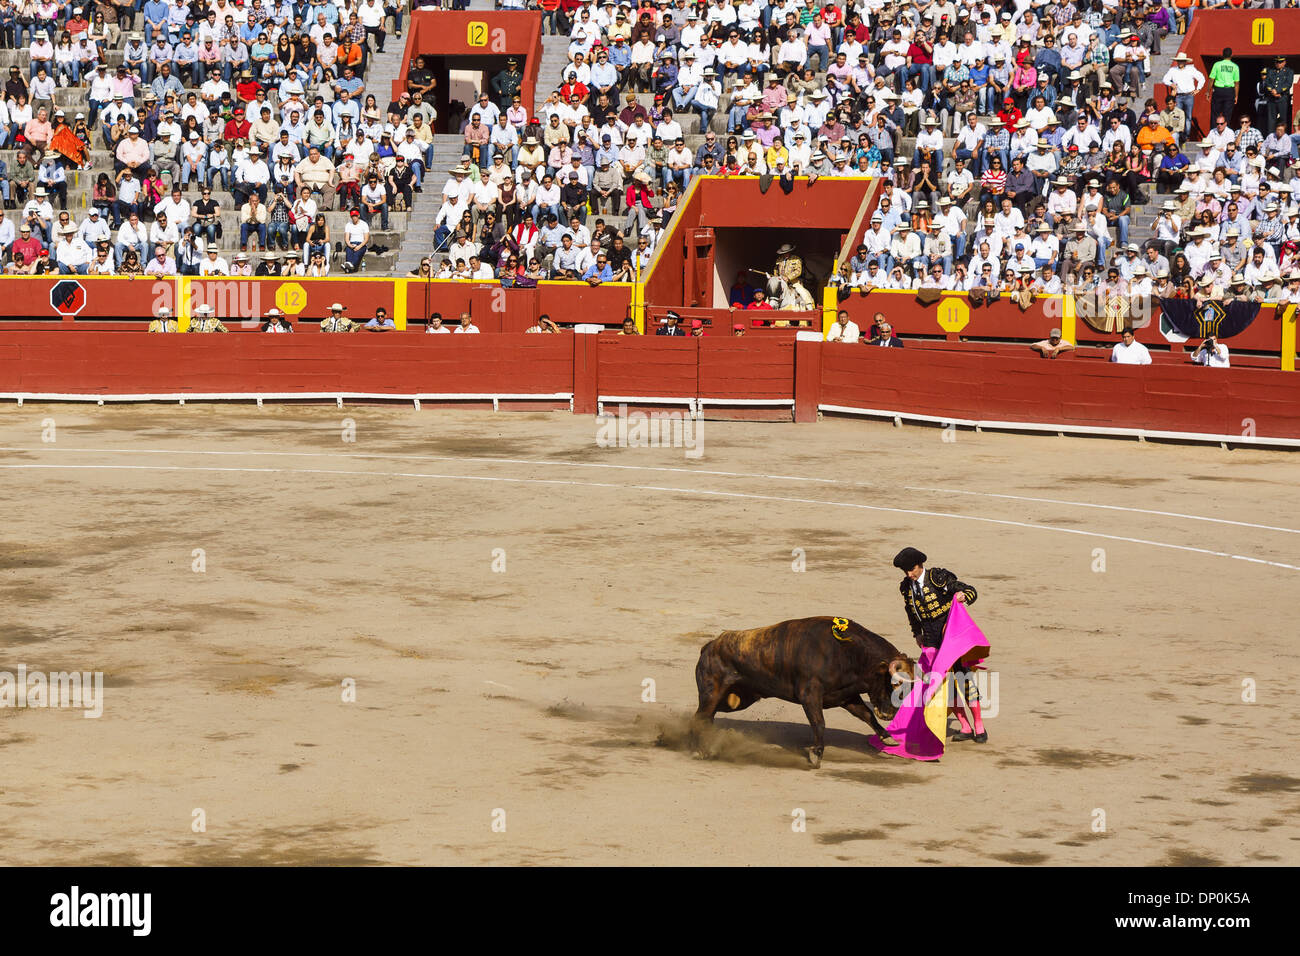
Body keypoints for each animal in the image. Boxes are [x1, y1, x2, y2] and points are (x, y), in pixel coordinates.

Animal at [691, 621, 915, 770]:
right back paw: (698, 750)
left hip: (737, 699)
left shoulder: (846, 697)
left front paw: (888, 738)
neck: (846, 653)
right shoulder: (810, 694)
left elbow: (866, 715)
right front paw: (816, 755)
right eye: (895, 683)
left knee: (706, 716)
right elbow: (819, 723)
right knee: (701, 716)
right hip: (713, 692)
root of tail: (710, 646)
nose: (890, 714)